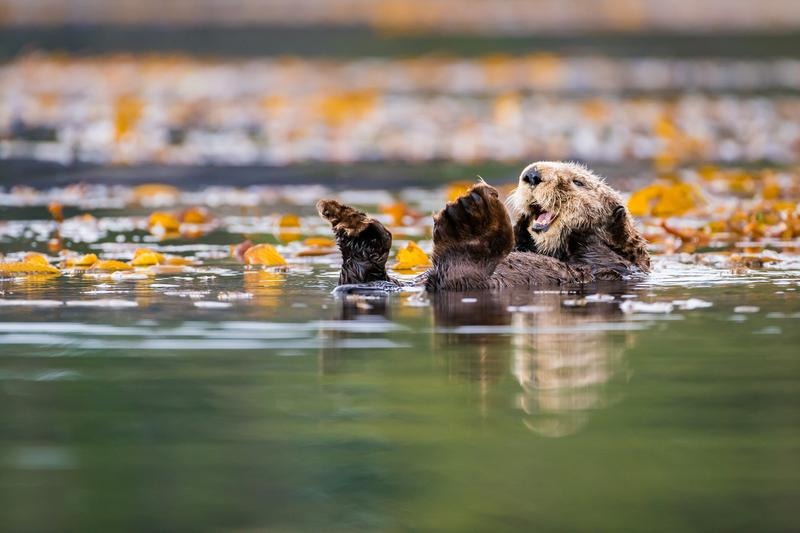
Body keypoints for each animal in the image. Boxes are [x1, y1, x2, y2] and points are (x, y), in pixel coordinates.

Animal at [318, 161, 648, 290]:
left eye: (578, 181)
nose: (531, 174)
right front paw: (522, 224)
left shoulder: (613, 265)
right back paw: (352, 225)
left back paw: (468, 219)